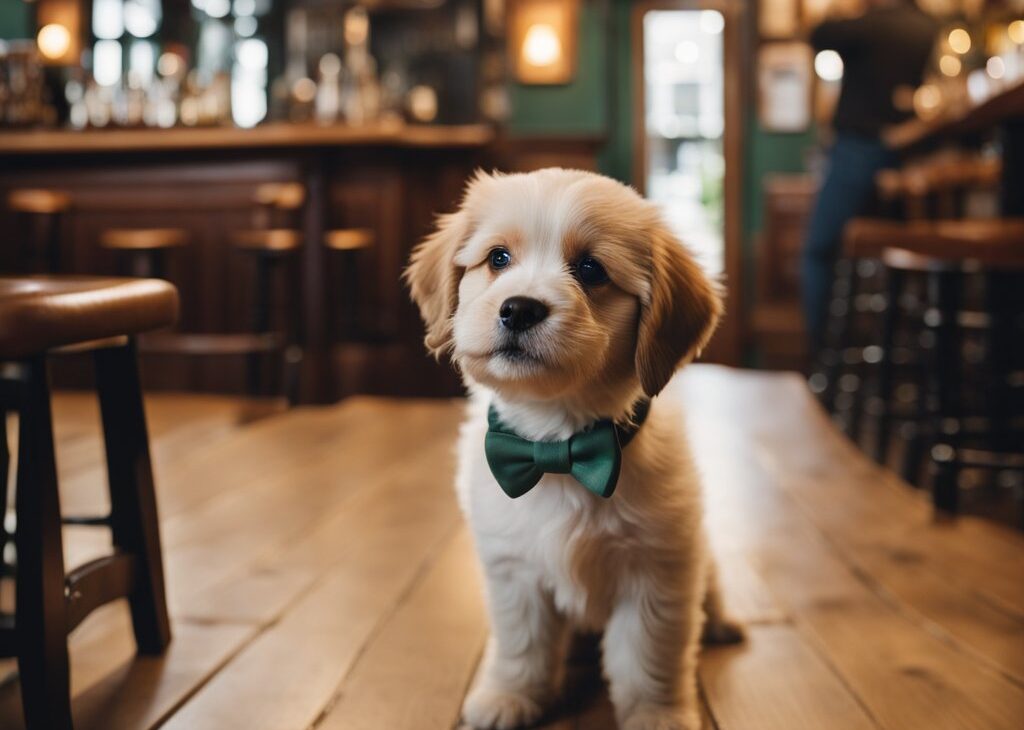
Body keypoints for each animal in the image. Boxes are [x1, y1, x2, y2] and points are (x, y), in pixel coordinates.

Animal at [403, 167, 741, 724]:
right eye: (498, 258)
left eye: (590, 269)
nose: (519, 309)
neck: (557, 446)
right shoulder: (515, 571)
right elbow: (522, 645)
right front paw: (510, 695)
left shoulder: (657, 571)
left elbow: (649, 657)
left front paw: (657, 715)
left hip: (698, 554)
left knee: (710, 590)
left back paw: (721, 621)